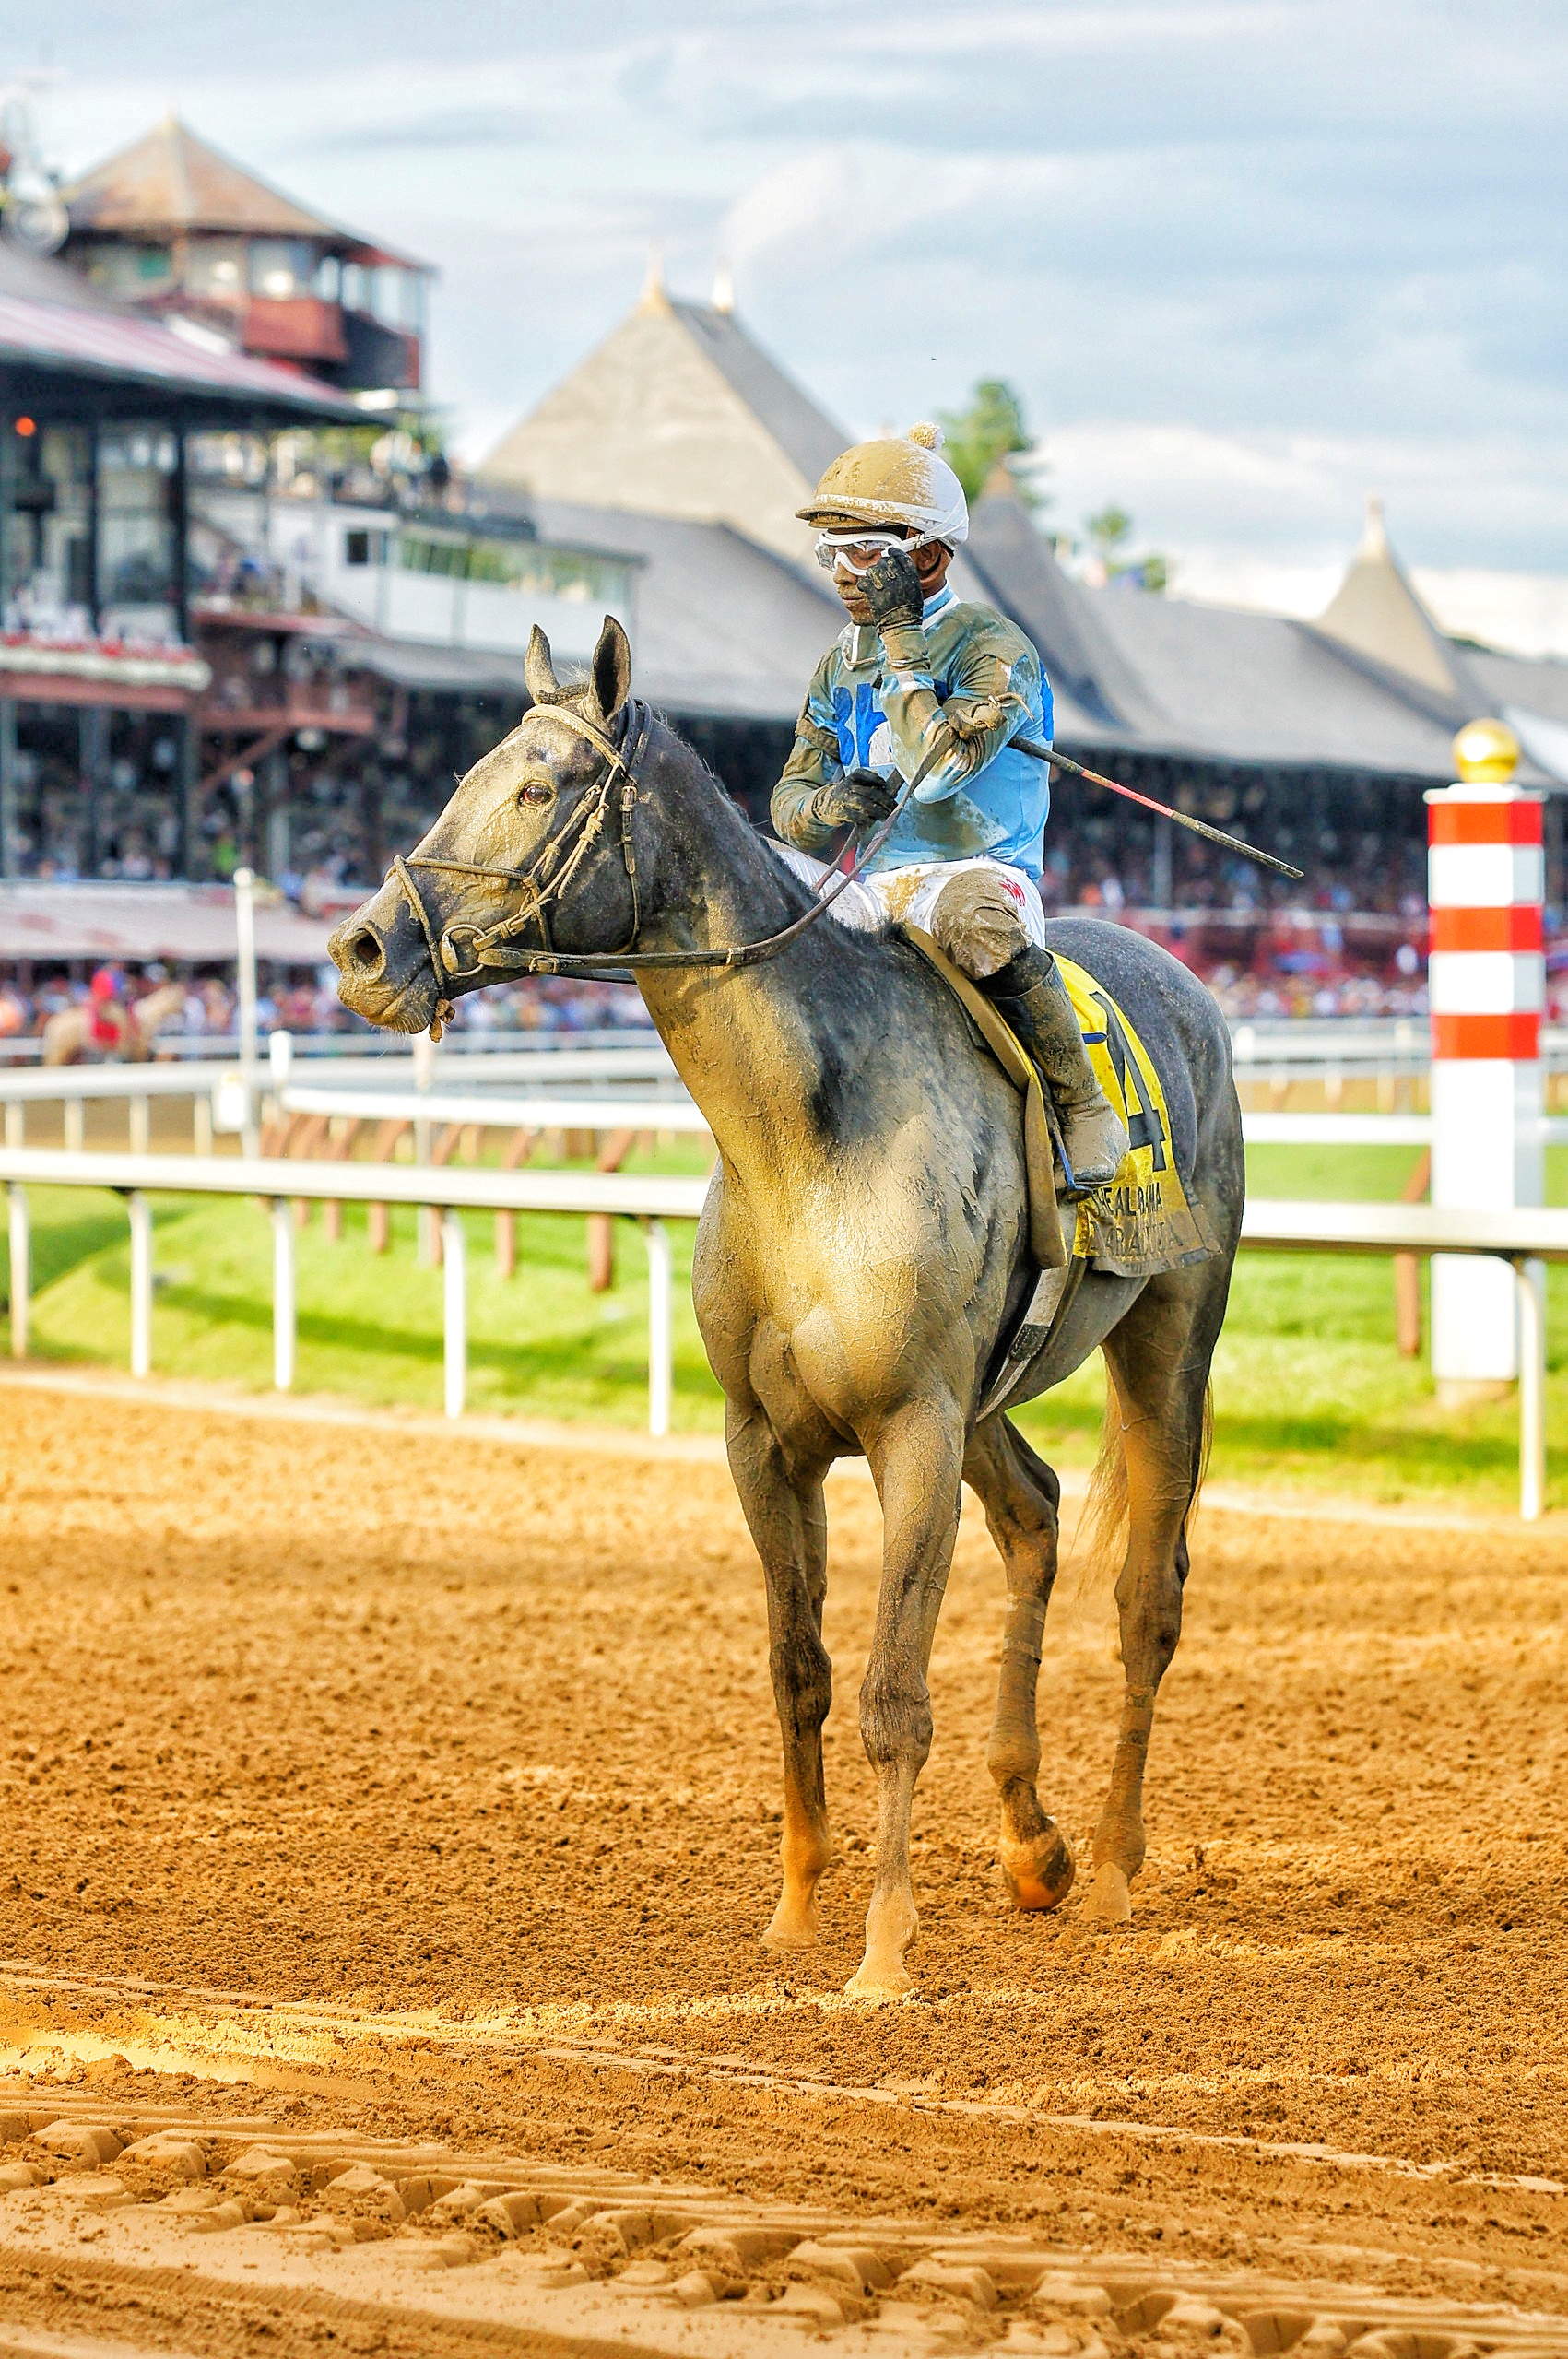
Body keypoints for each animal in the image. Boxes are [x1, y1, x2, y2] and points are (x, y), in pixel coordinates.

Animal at [332, 613, 1244, 1990]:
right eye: (463, 775)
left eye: (540, 786)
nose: (366, 950)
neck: (805, 1134)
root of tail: (1186, 989)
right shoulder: (765, 1438)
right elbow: (798, 1671)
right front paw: (799, 1911)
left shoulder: (911, 1427)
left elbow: (891, 1696)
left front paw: (884, 1948)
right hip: (991, 1392)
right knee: (1034, 1515)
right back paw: (1033, 1844)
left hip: (1168, 1342)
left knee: (1150, 1592)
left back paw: (1117, 1867)